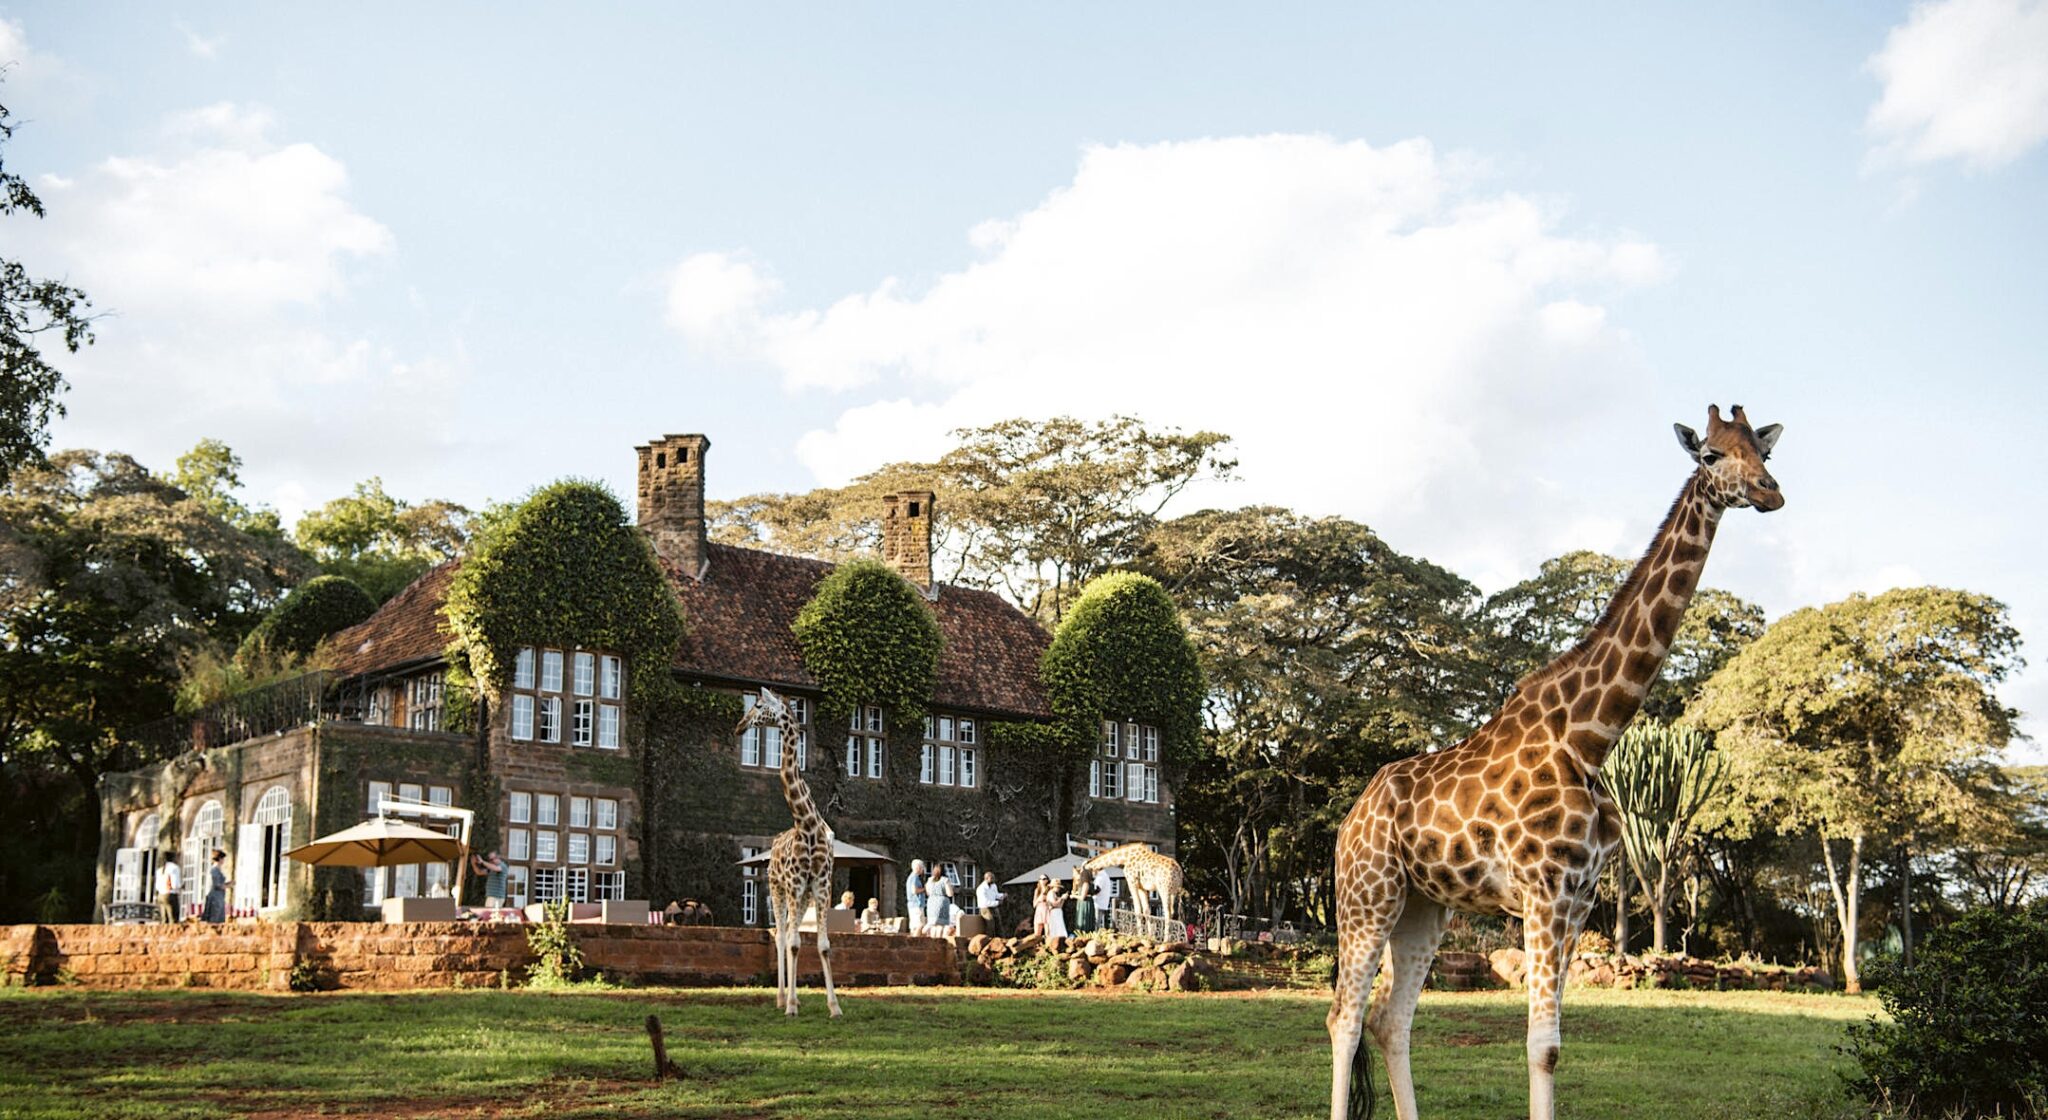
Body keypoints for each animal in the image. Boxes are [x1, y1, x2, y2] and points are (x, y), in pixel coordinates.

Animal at [736, 686, 843, 1018]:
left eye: (758, 705)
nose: (739, 727)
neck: (806, 823)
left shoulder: (821, 885)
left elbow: (823, 944)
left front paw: (834, 1006)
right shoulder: (794, 884)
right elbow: (794, 943)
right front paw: (793, 1005)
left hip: (802, 895)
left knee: (787, 933)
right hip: (777, 888)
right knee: (782, 936)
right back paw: (783, 998)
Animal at [1326, 406, 1784, 1120]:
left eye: (1762, 452)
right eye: (1710, 454)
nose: (1770, 493)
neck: (1592, 737)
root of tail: (1351, 819)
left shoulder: (1579, 897)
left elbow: (1553, 1044)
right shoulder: (1543, 891)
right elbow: (1541, 1046)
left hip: (1424, 906)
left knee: (1389, 1019)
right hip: (1367, 893)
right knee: (1345, 1018)